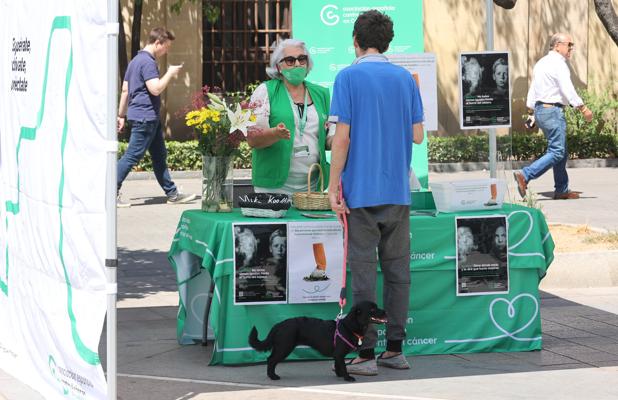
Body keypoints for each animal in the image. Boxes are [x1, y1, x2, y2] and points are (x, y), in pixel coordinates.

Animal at [247, 300, 384, 382]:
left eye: (376, 307)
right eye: (372, 309)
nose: (385, 311)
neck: (348, 326)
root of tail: (278, 325)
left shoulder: (336, 355)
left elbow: (338, 365)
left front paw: (339, 375)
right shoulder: (339, 354)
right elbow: (344, 366)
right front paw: (347, 377)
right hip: (284, 347)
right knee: (271, 360)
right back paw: (273, 376)